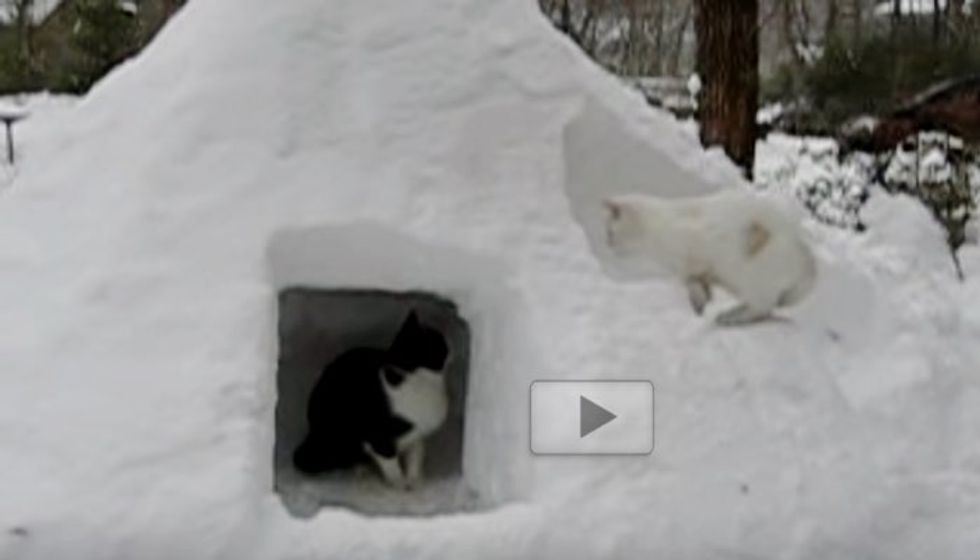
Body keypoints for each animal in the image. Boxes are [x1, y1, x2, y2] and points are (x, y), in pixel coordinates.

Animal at [292, 310, 450, 490]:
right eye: (439, 340)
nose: (450, 345)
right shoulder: (379, 437)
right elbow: (391, 463)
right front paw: (399, 484)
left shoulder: (417, 434)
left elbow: (415, 457)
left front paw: (415, 481)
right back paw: (362, 471)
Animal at [600, 190, 816, 326]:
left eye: (610, 233)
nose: (607, 245)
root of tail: (804, 252)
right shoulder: (695, 273)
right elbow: (697, 286)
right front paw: (701, 304)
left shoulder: (695, 260)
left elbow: (694, 283)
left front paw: (700, 305)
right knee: (766, 309)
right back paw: (729, 313)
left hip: (751, 281)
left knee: (761, 310)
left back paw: (730, 318)